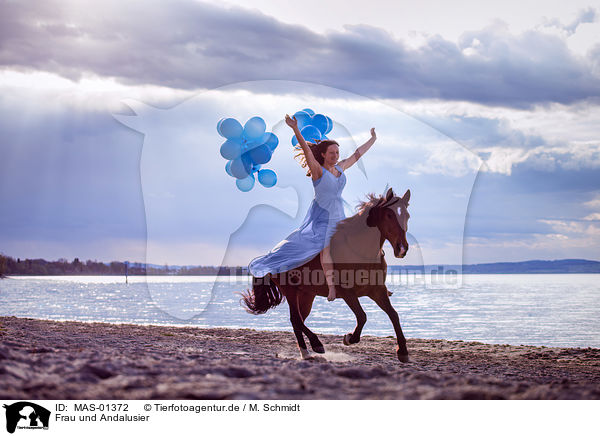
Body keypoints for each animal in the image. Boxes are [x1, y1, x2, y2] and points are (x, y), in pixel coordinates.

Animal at [241, 187, 410, 362]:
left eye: (407, 216)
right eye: (389, 215)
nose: (402, 248)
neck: (361, 252)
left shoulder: (377, 290)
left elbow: (394, 315)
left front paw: (403, 351)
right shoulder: (347, 292)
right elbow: (362, 316)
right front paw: (349, 338)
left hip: (307, 294)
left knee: (298, 320)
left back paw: (306, 352)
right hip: (291, 291)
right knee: (296, 319)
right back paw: (316, 344)